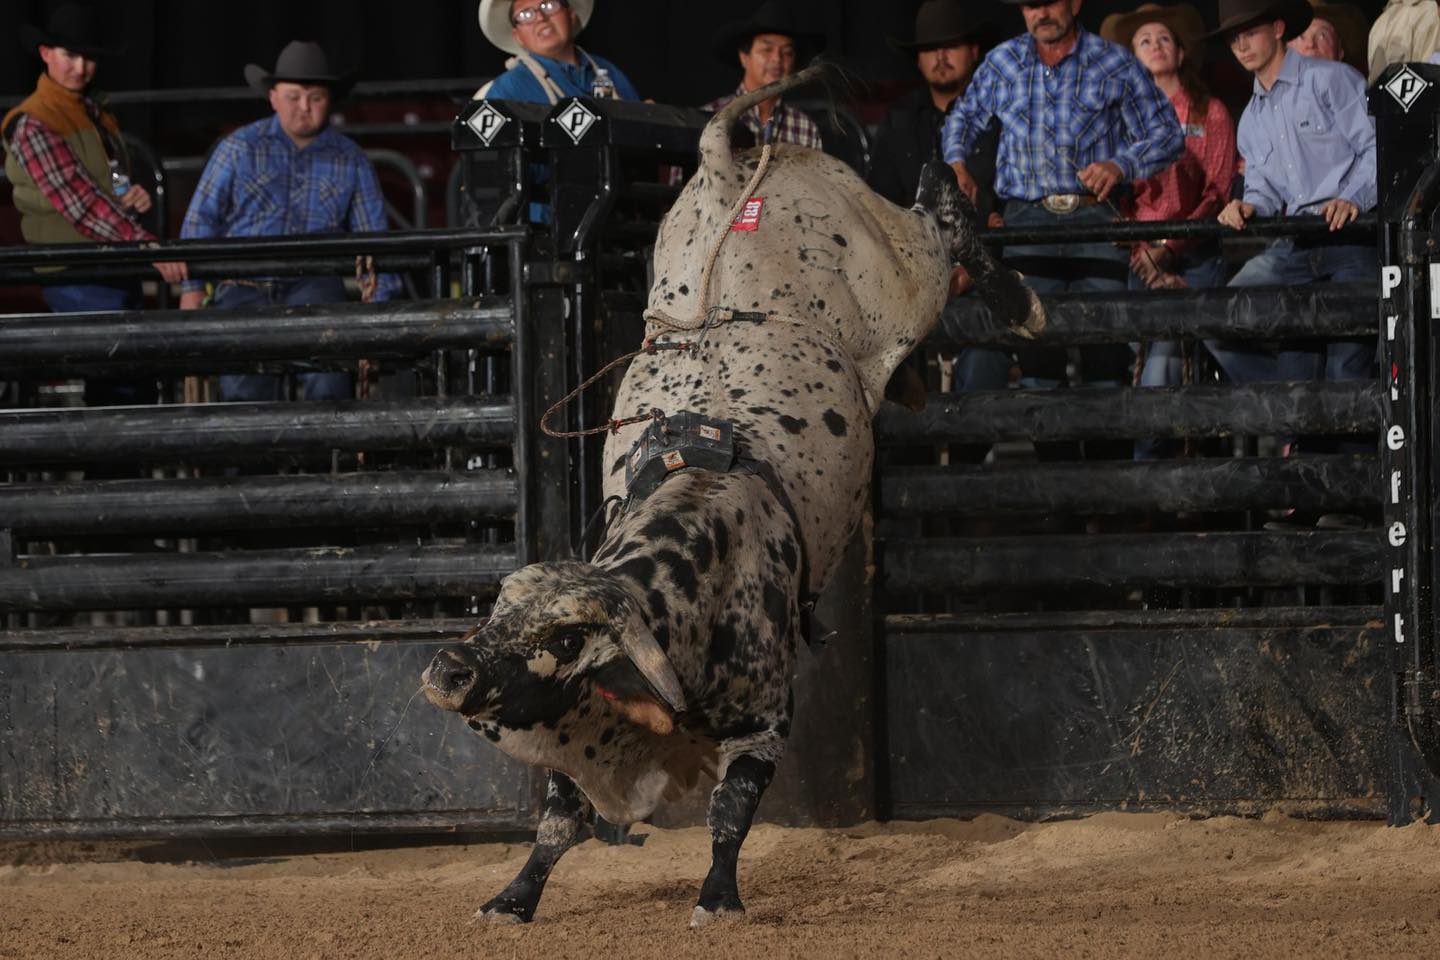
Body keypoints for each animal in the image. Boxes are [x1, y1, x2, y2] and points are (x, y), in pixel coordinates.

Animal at [422, 62, 1042, 928]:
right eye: (500, 608)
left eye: (564, 640)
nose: (450, 665)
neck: (687, 580)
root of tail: (722, 163)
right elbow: (560, 816)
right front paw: (512, 898)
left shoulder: (764, 720)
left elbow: (731, 809)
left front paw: (717, 898)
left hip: (900, 274)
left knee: (941, 223)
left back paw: (1014, 286)